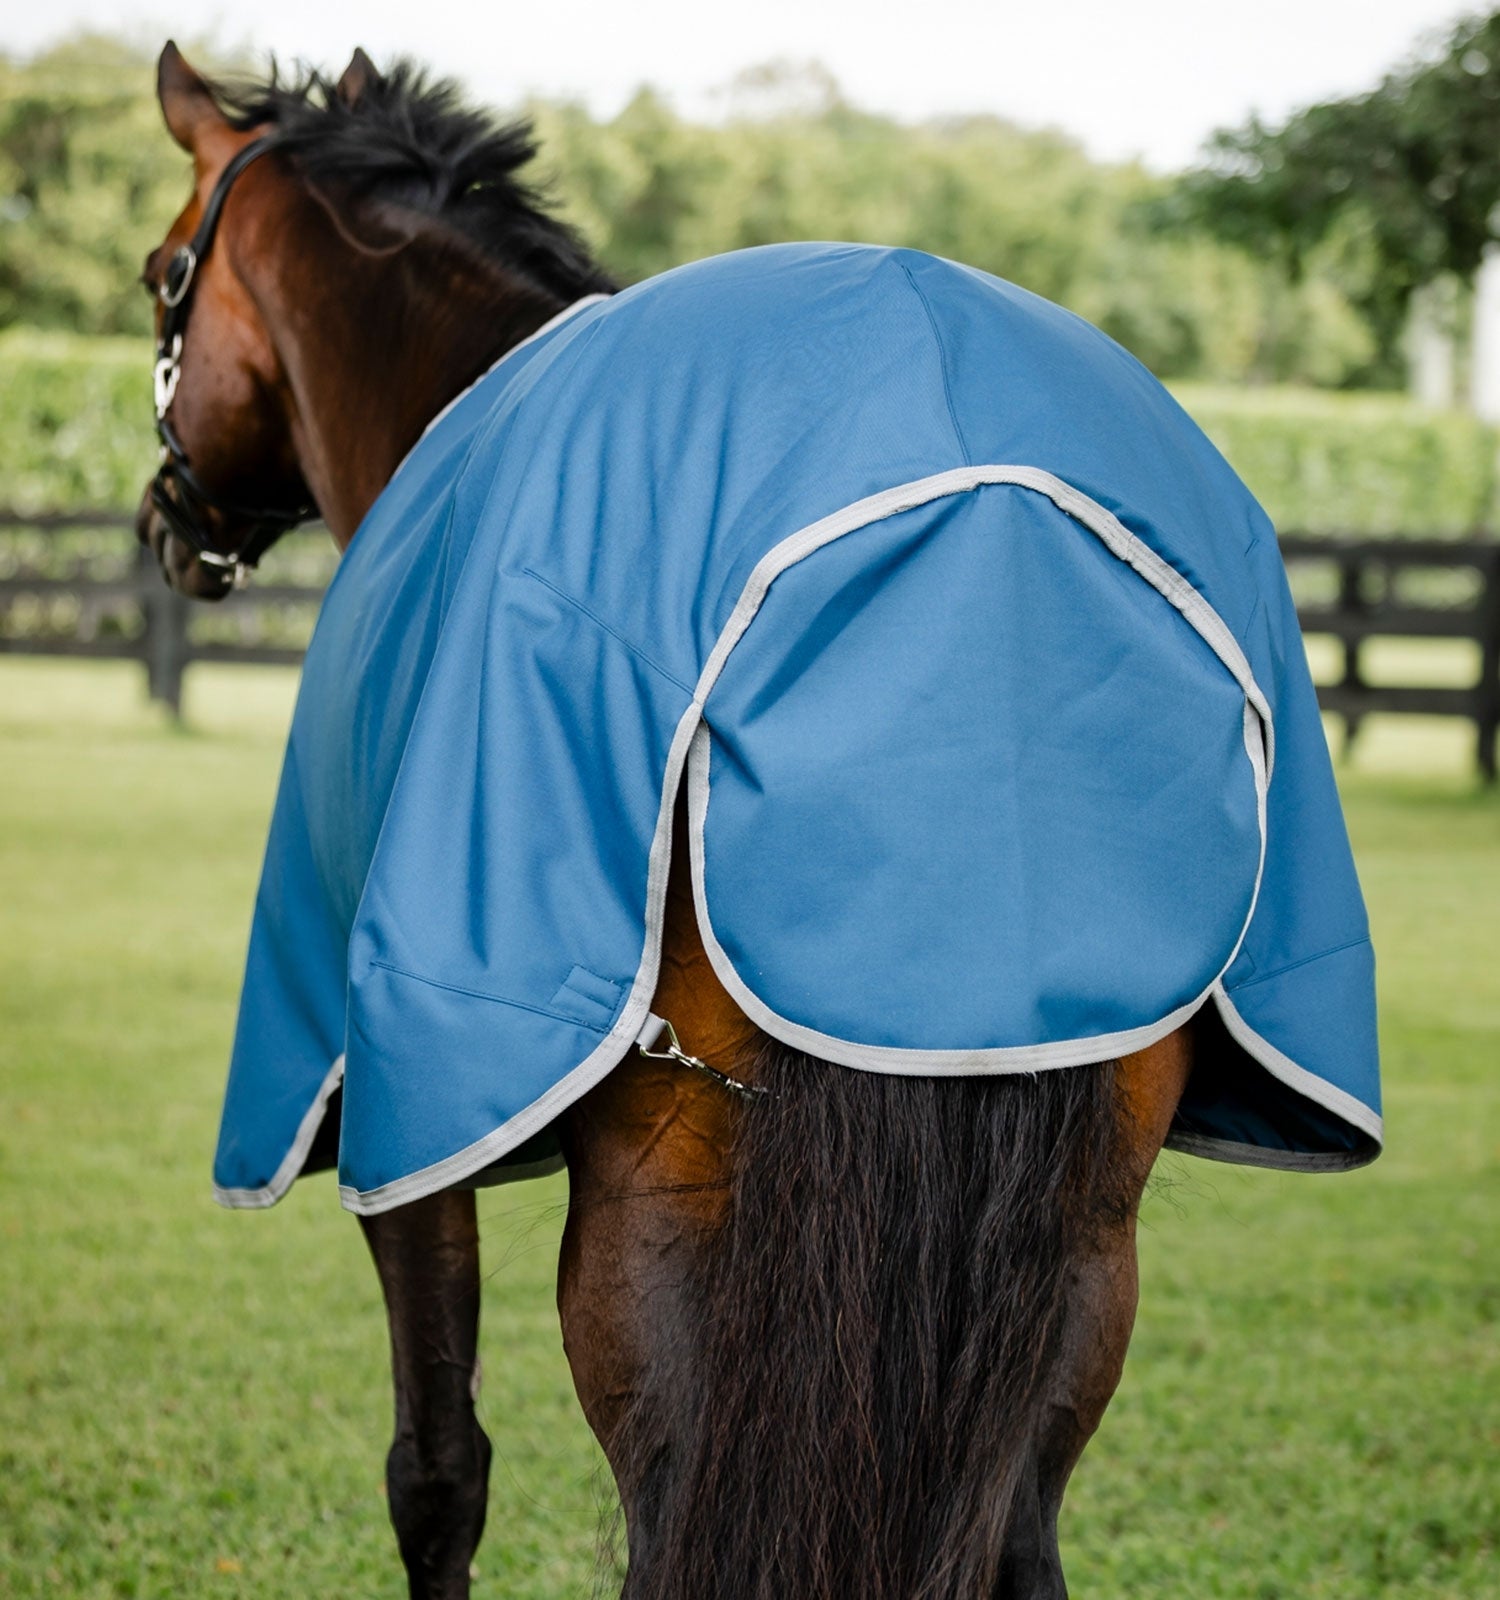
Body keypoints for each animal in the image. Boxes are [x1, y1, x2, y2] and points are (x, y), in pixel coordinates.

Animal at [134, 43, 1381, 1600]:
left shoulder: (400, 1102)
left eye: (162, 274)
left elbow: (436, 1471)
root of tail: (985, 532)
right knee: (1019, 1533)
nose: (165, 521)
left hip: (659, 1221)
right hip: (1085, 1242)